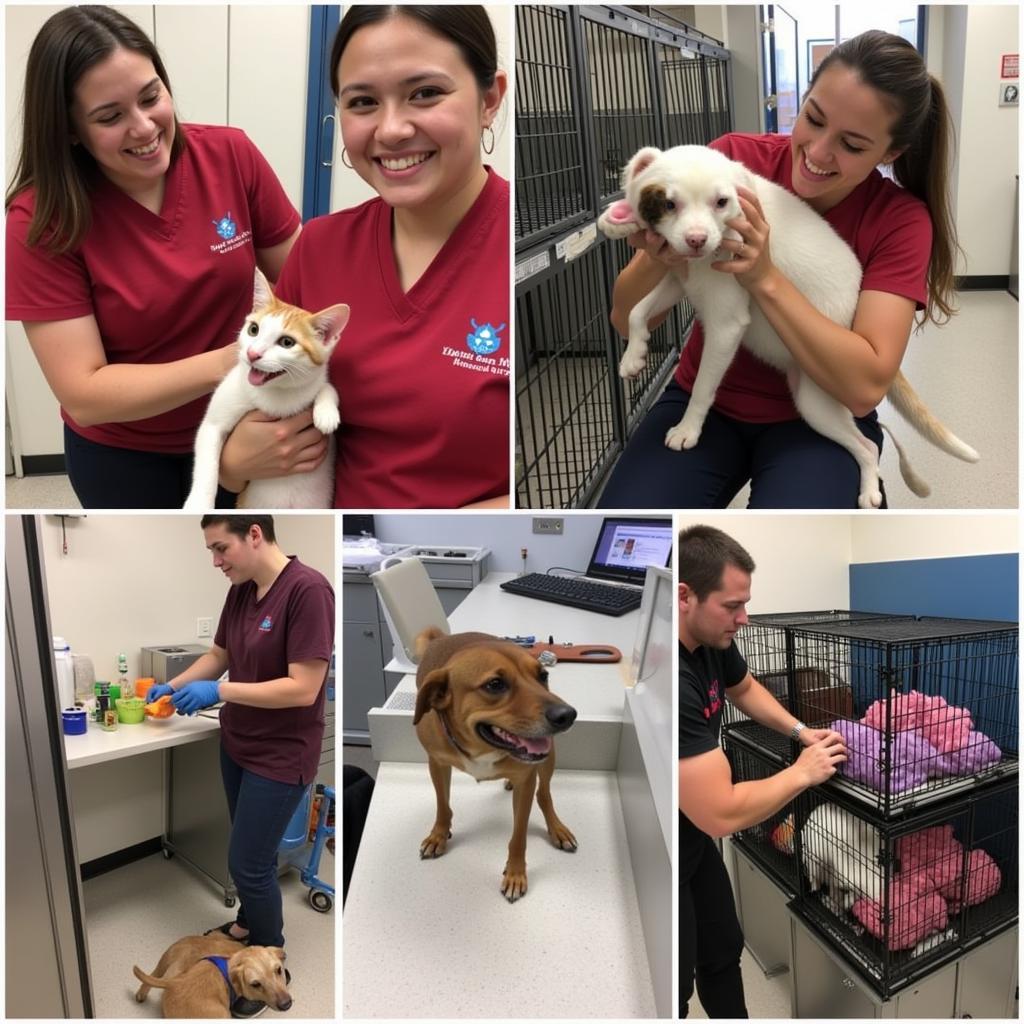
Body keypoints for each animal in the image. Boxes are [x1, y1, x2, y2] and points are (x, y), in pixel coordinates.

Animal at [132, 937, 290, 1019]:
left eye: (278, 970)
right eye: (255, 984)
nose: (286, 1004)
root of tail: (173, 983)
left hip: (162, 965)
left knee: (150, 978)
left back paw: (141, 994)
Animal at [187, 270, 352, 509]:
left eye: (287, 342)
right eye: (253, 330)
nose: (252, 354)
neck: (277, 393)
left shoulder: (314, 380)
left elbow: (327, 387)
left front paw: (326, 413)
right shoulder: (213, 424)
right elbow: (208, 462)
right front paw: (199, 503)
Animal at [411, 622, 581, 905]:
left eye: (543, 675)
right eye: (495, 684)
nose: (567, 715)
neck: (483, 747)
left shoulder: (526, 782)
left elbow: (519, 836)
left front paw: (515, 873)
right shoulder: (437, 764)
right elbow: (443, 806)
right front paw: (439, 835)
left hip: (548, 761)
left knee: (544, 794)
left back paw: (557, 828)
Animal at [598, 146, 978, 505]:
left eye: (721, 202)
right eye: (669, 203)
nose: (696, 239)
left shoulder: (726, 323)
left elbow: (704, 385)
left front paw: (687, 428)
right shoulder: (680, 279)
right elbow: (636, 311)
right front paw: (633, 356)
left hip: (817, 400)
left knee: (868, 447)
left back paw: (870, 492)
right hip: (815, 405)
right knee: (865, 447)